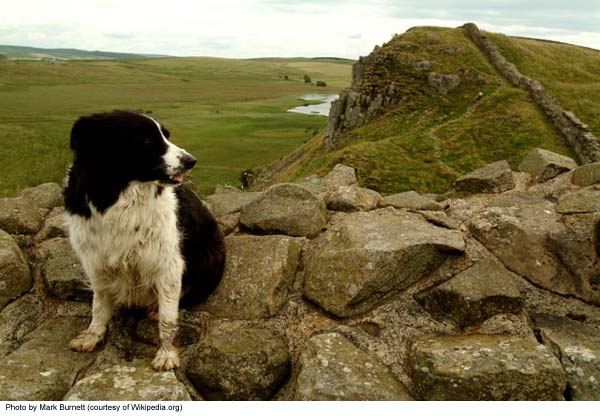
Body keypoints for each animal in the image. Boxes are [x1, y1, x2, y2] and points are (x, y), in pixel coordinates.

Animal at [63, 109, 225, 370]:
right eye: (147, 140)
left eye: (166, 135)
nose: (191, 160)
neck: (118, 197)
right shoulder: (95, 260)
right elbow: (99, 304)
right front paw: (92, 336)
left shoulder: (168, 263)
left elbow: (168, 316)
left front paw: (167, 354)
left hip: (210, 255)